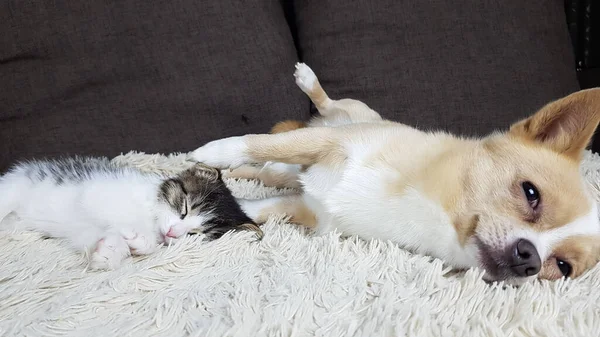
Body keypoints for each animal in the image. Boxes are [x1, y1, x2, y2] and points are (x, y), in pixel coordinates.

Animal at [0, 156, 262, 270]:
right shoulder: (98, 190)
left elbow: (92, 235)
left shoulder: (83, 230)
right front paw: (139, 236)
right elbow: (103, 209)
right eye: (185, 209)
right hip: (15, 186)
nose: (172, 232)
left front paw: (110, 252)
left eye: (196, 234)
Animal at [191, 63, 600, 284]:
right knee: (322, 108)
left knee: (275, 172)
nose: (530, 260)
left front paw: (216, 214)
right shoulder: (332, 142)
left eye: (562, 267)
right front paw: (213, 151)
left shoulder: (308, 210)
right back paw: (307, 81)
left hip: (294, 170)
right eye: (531, 193)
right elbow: (259, 142)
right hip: (347, 115)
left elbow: (259, 209)